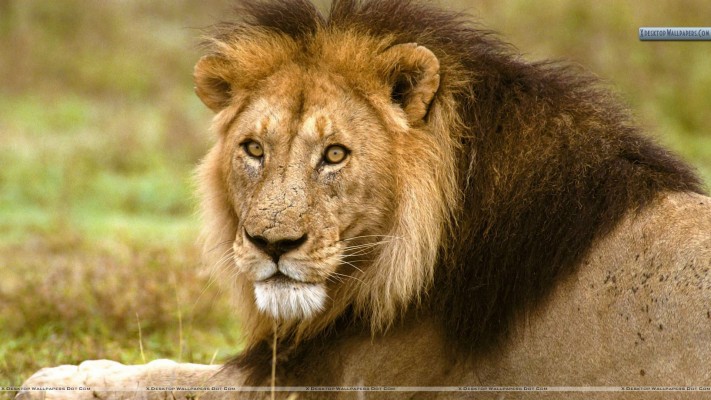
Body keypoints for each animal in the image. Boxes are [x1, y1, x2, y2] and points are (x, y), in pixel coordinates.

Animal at [17, 0, 711, 399]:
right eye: (253, 149)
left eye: (335, 154)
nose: (273, 245)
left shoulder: (332, 382)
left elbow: (166, 377)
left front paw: (57, 378)